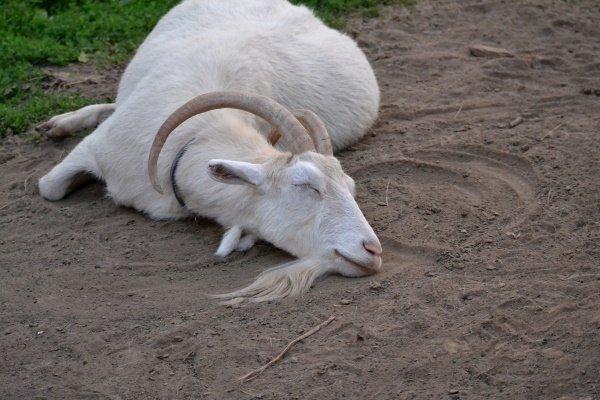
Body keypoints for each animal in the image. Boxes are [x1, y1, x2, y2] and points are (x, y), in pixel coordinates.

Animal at [37, 0, 382, 304]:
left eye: (351, 187)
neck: (193, 138)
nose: (373, 250)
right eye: (305, 184)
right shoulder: (97, 149)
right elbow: (49, 188)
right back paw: (62, 122)